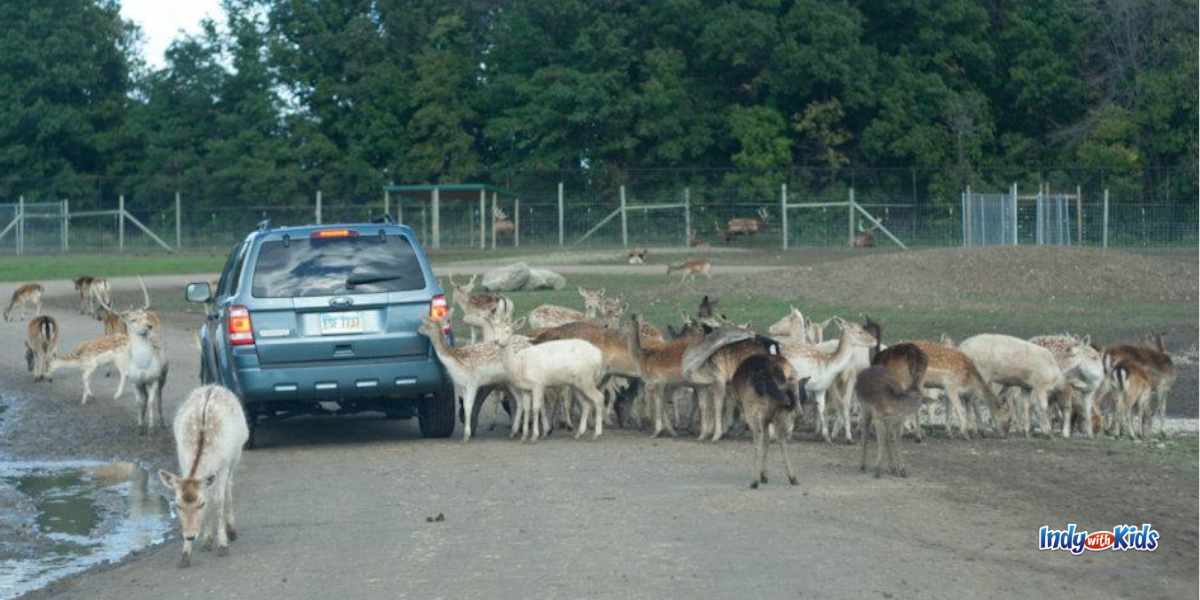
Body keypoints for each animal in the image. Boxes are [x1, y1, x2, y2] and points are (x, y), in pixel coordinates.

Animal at [159, 384, 248, 566]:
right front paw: (188, 553)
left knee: (228, 487)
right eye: (177, 505)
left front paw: (222, 545)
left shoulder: (223, 466)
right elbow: (209, 498)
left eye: (200, 505)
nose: (190, 536)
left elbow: (218, 501)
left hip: (236, 456)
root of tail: (213, 386)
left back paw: (232, 530)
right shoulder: (184, 464)